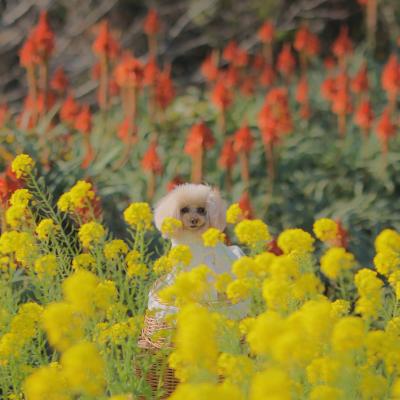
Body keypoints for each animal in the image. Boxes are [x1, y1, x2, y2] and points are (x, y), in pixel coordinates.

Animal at [147, 183, 247, 320]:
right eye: (184, 210)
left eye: (201, 210)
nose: (194, 220)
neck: (192, 239)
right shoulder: (180, 268)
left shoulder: (208, 265)